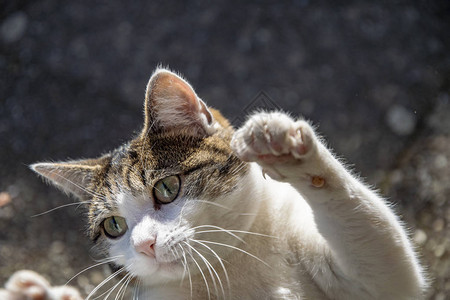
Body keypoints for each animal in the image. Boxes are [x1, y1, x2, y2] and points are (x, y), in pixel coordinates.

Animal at [11, 69, 428, 298]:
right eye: (113, 226)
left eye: (167, 189)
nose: (144, 244)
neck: (231, 266)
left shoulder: (373, 282)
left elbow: (380, 253)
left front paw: (285, 149)